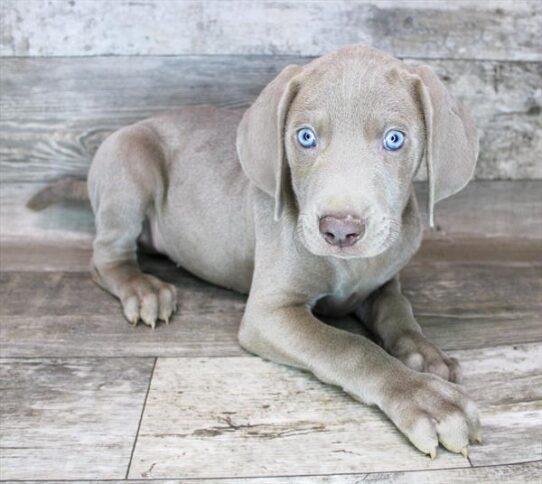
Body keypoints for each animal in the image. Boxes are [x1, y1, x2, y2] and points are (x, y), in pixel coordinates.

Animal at [31, 45, 482, 458]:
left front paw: (425, 354)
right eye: (305, 137)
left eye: (394, 139)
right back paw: (143, 290)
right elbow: (349, 346)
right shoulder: (270, 314)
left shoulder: (383, 284)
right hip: (129, 160)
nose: (339, 230)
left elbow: (398, 313)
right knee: (106, 257)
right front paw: (424, 396)